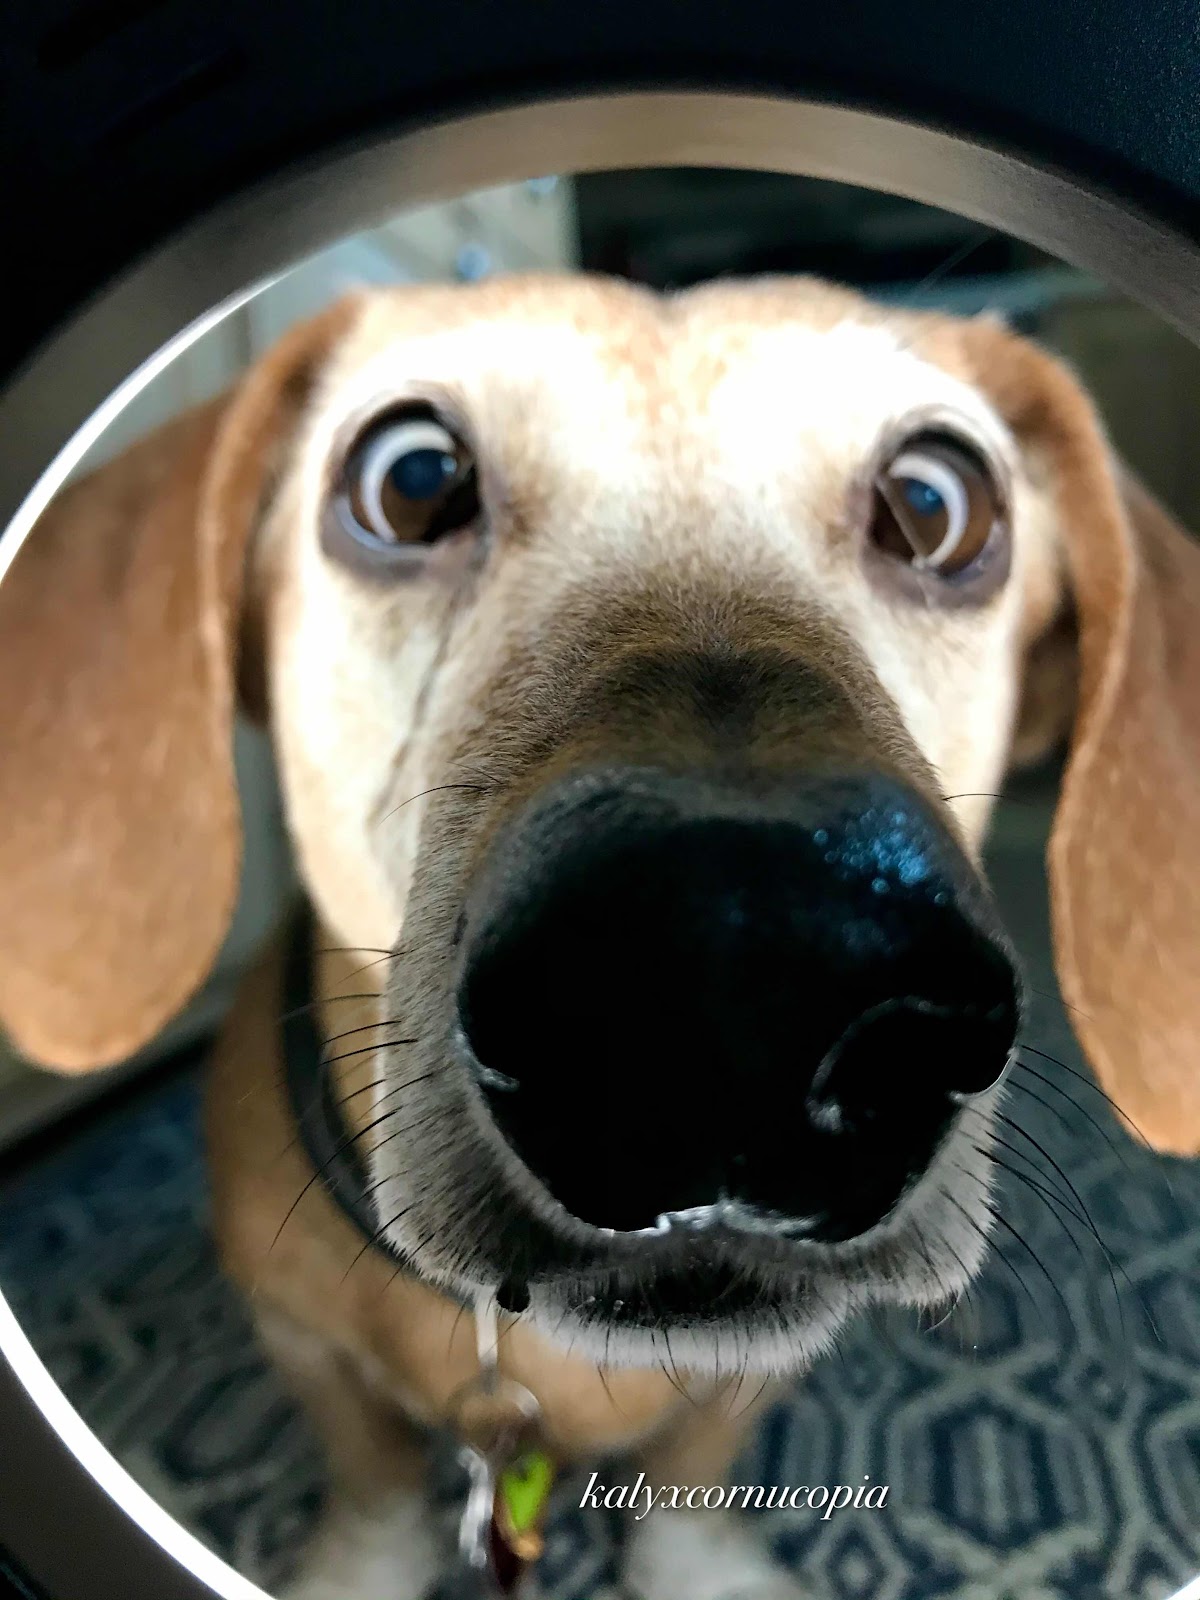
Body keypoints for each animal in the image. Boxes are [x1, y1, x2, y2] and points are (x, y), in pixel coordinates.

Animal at [1, 273, 1198, 1600]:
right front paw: (362, 1563)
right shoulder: (303, 1341)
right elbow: (372, 1474)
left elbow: (693, 1470)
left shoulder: (742, 1385)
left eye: (935, 501)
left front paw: (702, 1565)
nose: (739, 978)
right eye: (412, 479)